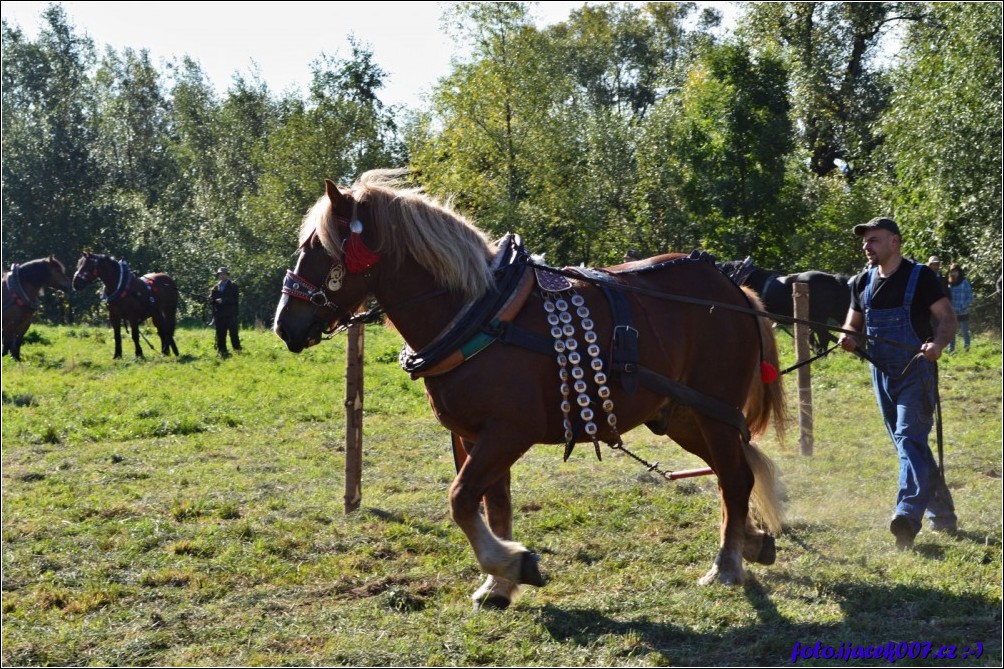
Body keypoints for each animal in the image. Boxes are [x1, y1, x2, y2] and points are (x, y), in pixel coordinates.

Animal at [277, 172, 791, 610]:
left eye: (319, 249)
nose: (285, 325)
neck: (478, 313)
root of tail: (733, 289)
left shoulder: (508, 432)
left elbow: (461, 499)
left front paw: (512, 563)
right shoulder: (470, 436)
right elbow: (492, 505)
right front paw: (498, 583)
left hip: (715, 410)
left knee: (734, 477)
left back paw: (727, 566)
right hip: (683, 414)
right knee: (733, 473)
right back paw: (751, 541)